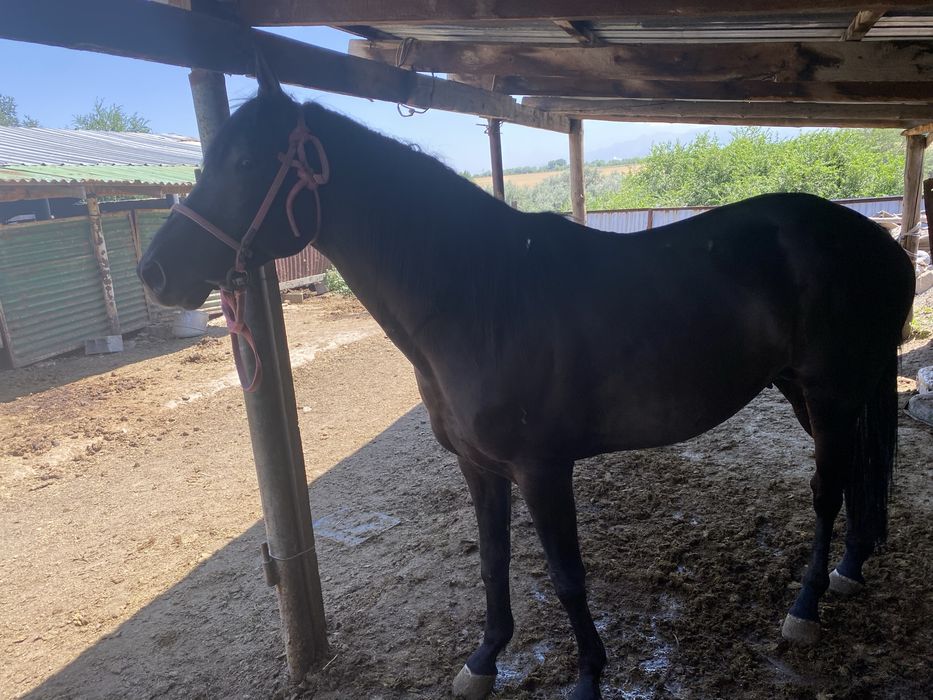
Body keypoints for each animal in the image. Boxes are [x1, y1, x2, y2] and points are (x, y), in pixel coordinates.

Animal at [138, 65, 915, 700]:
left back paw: (805, 608)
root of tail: (881, 242)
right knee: (859, 473)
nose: (155, 272)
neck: (479, 295)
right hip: (812, 392)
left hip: (829, 393)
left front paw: (588, 677)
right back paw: (851, 567)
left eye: (244, 162)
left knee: (827, 490)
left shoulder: (543, 469)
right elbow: (493, 562)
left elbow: (567, 576)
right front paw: (482, 663)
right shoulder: (479, 468)